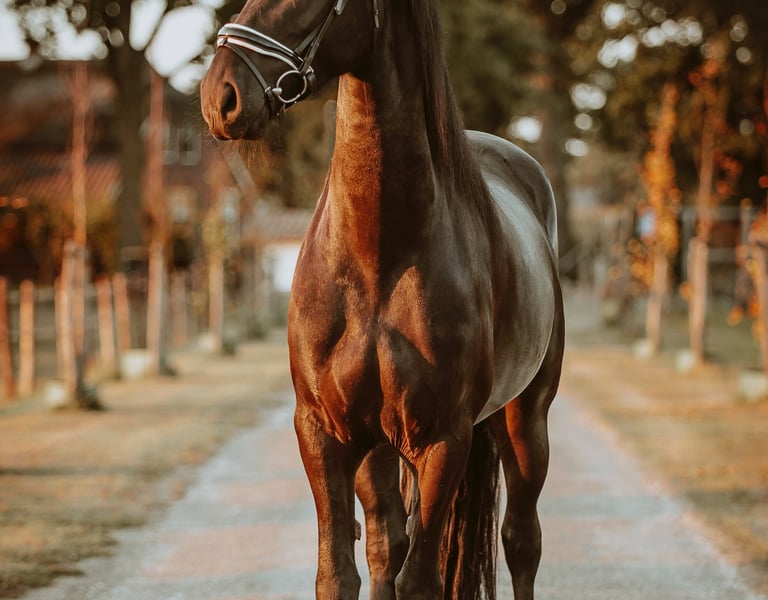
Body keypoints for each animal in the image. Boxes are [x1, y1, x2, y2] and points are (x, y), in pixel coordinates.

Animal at [200, 0, 564, 598]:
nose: (220, 93)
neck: (378, 257)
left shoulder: (444, 439)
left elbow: (420, 578)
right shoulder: (325, 432)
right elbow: (342, 572)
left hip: (525, 419)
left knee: (521, 541)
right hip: (381, 446)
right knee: (386, 544)